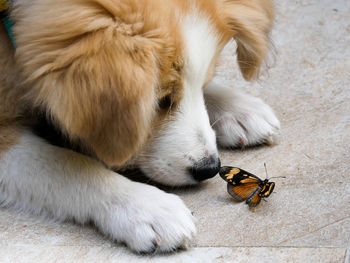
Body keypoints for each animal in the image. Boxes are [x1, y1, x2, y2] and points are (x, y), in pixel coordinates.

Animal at [0, 0, 278, 255]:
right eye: (161, 100)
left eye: (205, 81)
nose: (209, 169)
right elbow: (65, 164)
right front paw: (146, 206)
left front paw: (239, 107)